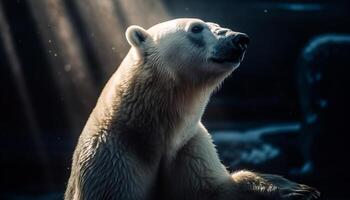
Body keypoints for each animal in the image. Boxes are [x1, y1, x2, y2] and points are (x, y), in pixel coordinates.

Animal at [64, 18, 318, 199]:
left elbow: (215, 189)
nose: (240, 39)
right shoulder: (112, 161)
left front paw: (296, 189)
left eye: (217, 25)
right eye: (196, 28)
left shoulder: (189, 147)